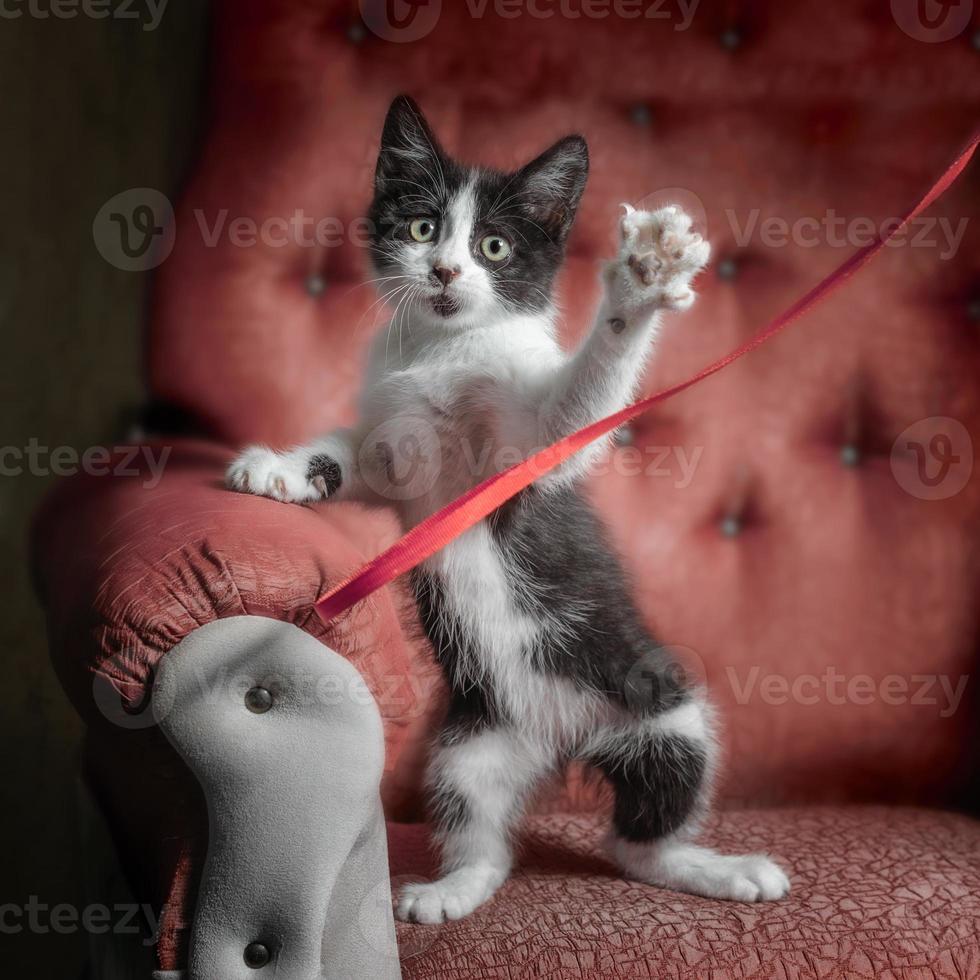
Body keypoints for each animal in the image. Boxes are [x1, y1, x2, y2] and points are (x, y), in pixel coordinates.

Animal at [228, 95, 788, 924]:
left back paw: (714, 869)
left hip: (664, 710)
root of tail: (561, 742)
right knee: (485, 833)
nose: (445, 271)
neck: (442, 350)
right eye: (422, 228)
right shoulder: (390, 445)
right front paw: (281, 469)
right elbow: (347, 453)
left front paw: (641, 282)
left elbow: (574, 404)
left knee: (640, 839)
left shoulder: (531, 446)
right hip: (470, 744)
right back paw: (452, 889)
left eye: (493, 246)